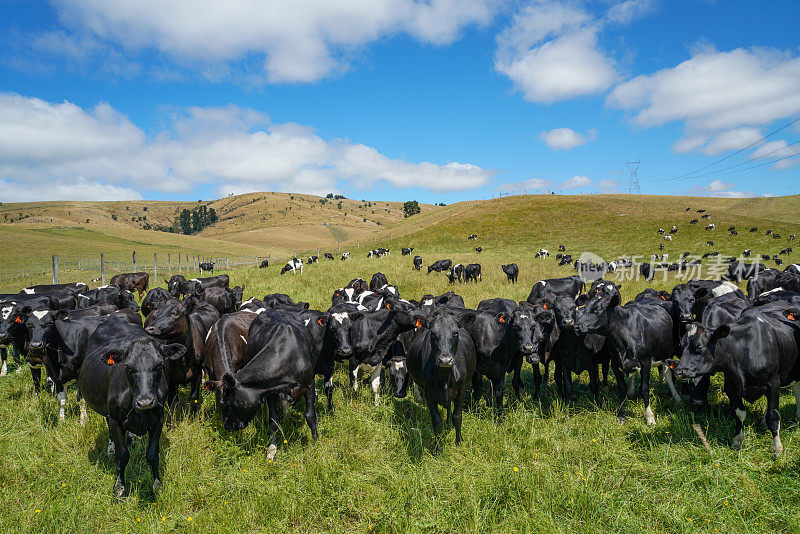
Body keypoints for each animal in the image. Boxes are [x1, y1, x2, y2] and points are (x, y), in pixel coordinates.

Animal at [79, 316, 186, 500]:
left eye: (159, 365)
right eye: (128, 367)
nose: (145, 402)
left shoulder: (158, 420)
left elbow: (152, 453)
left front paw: (157, 485)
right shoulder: (115, 420)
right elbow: (122, 455)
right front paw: (119, 488)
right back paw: (111, 447)